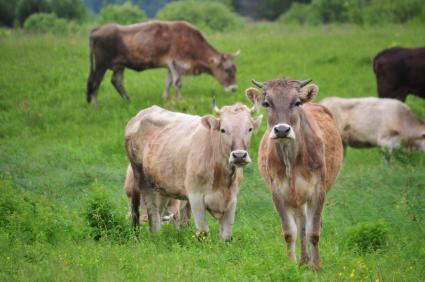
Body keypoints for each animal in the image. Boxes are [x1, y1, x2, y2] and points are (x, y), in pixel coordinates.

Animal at [86, 20, 238, 103]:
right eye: (226, 70)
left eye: (235, 70)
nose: (234, 88)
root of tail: (98, 28)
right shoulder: (176, 62)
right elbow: (178, 83)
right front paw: (180, 100)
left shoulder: (170, 66)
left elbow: (168, 83)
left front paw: (165, 99)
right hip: (101, 65)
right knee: (95, 83)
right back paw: (95, 106)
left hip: (119, 65)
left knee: (116, 81)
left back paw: (129, 101)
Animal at [124, 101, 260, 240]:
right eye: (223, 129)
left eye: (250, 129)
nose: (239, 155)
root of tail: (142, 114)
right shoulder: (196, 197)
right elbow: (203, 232)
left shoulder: (231, 199)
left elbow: (226, 236)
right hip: (140, 180)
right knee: (145, 212)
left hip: (161, 186)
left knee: (159, 215)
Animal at [247, 78, 342, 270]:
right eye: (267, 103)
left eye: (296, 103)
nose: (282, 130)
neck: (291, 161)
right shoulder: (278, 192)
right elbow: (290, 232)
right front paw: (292, 265)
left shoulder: (318, 189)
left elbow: (314, 231)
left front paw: (317, 267)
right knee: (301, 223)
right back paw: (303, 260)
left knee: (311, 224)